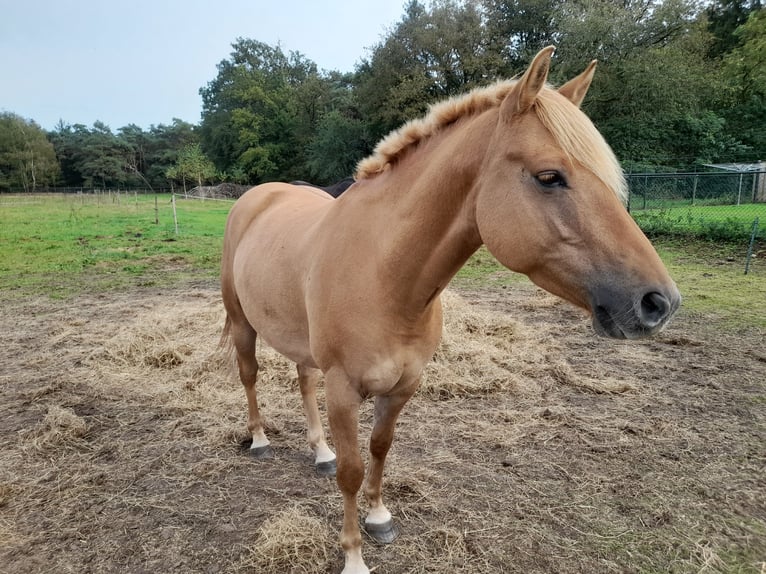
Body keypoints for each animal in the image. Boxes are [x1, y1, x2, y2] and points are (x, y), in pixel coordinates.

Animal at [222, 47, 684, 572]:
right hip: (242, 323)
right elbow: (352, 471)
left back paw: (319, 451)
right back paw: (260, 441)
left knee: (302, 380)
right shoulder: (343, 389)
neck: (383, 274)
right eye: (549, 177)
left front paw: (379, 518)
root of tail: (260, 194)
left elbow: (380, 448)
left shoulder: (404, 385)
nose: (659, 303)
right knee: (249, 374)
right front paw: (354, 557)